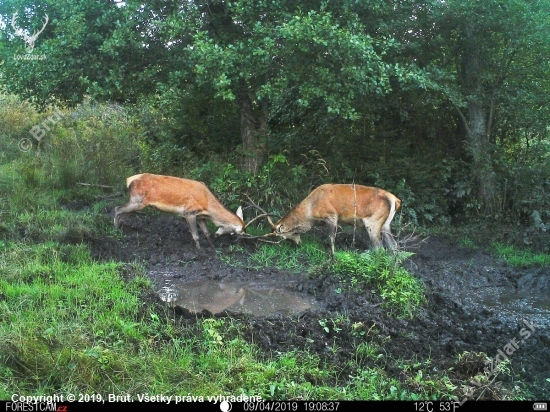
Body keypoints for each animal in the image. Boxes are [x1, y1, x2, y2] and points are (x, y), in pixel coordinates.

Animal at [114, 174, 246, 248]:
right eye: (237, 232)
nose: (241, 237)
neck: (207, 206)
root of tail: (128, 180)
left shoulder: (200, 216)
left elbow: (207, 233)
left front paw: (213, 247)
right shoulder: (189, 212)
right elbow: (196, 235)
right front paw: (200, 250)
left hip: (138, 203)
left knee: (124, 213)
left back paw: (120, 228)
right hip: (137, 200)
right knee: (117, 209)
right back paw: (115, 228)